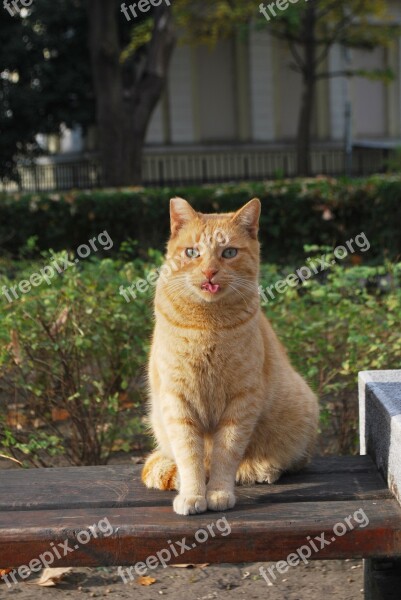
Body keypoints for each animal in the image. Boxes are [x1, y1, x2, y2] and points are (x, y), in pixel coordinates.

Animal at [142, 198, 318, 516]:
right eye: (192, 252)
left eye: (229, 253)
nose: (210, 272)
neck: (207, 324)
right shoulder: (177, 400)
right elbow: (189, 456)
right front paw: (192, 494)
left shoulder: (241, 400)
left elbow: (226, 454)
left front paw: (219, 493)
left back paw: (260, 469)